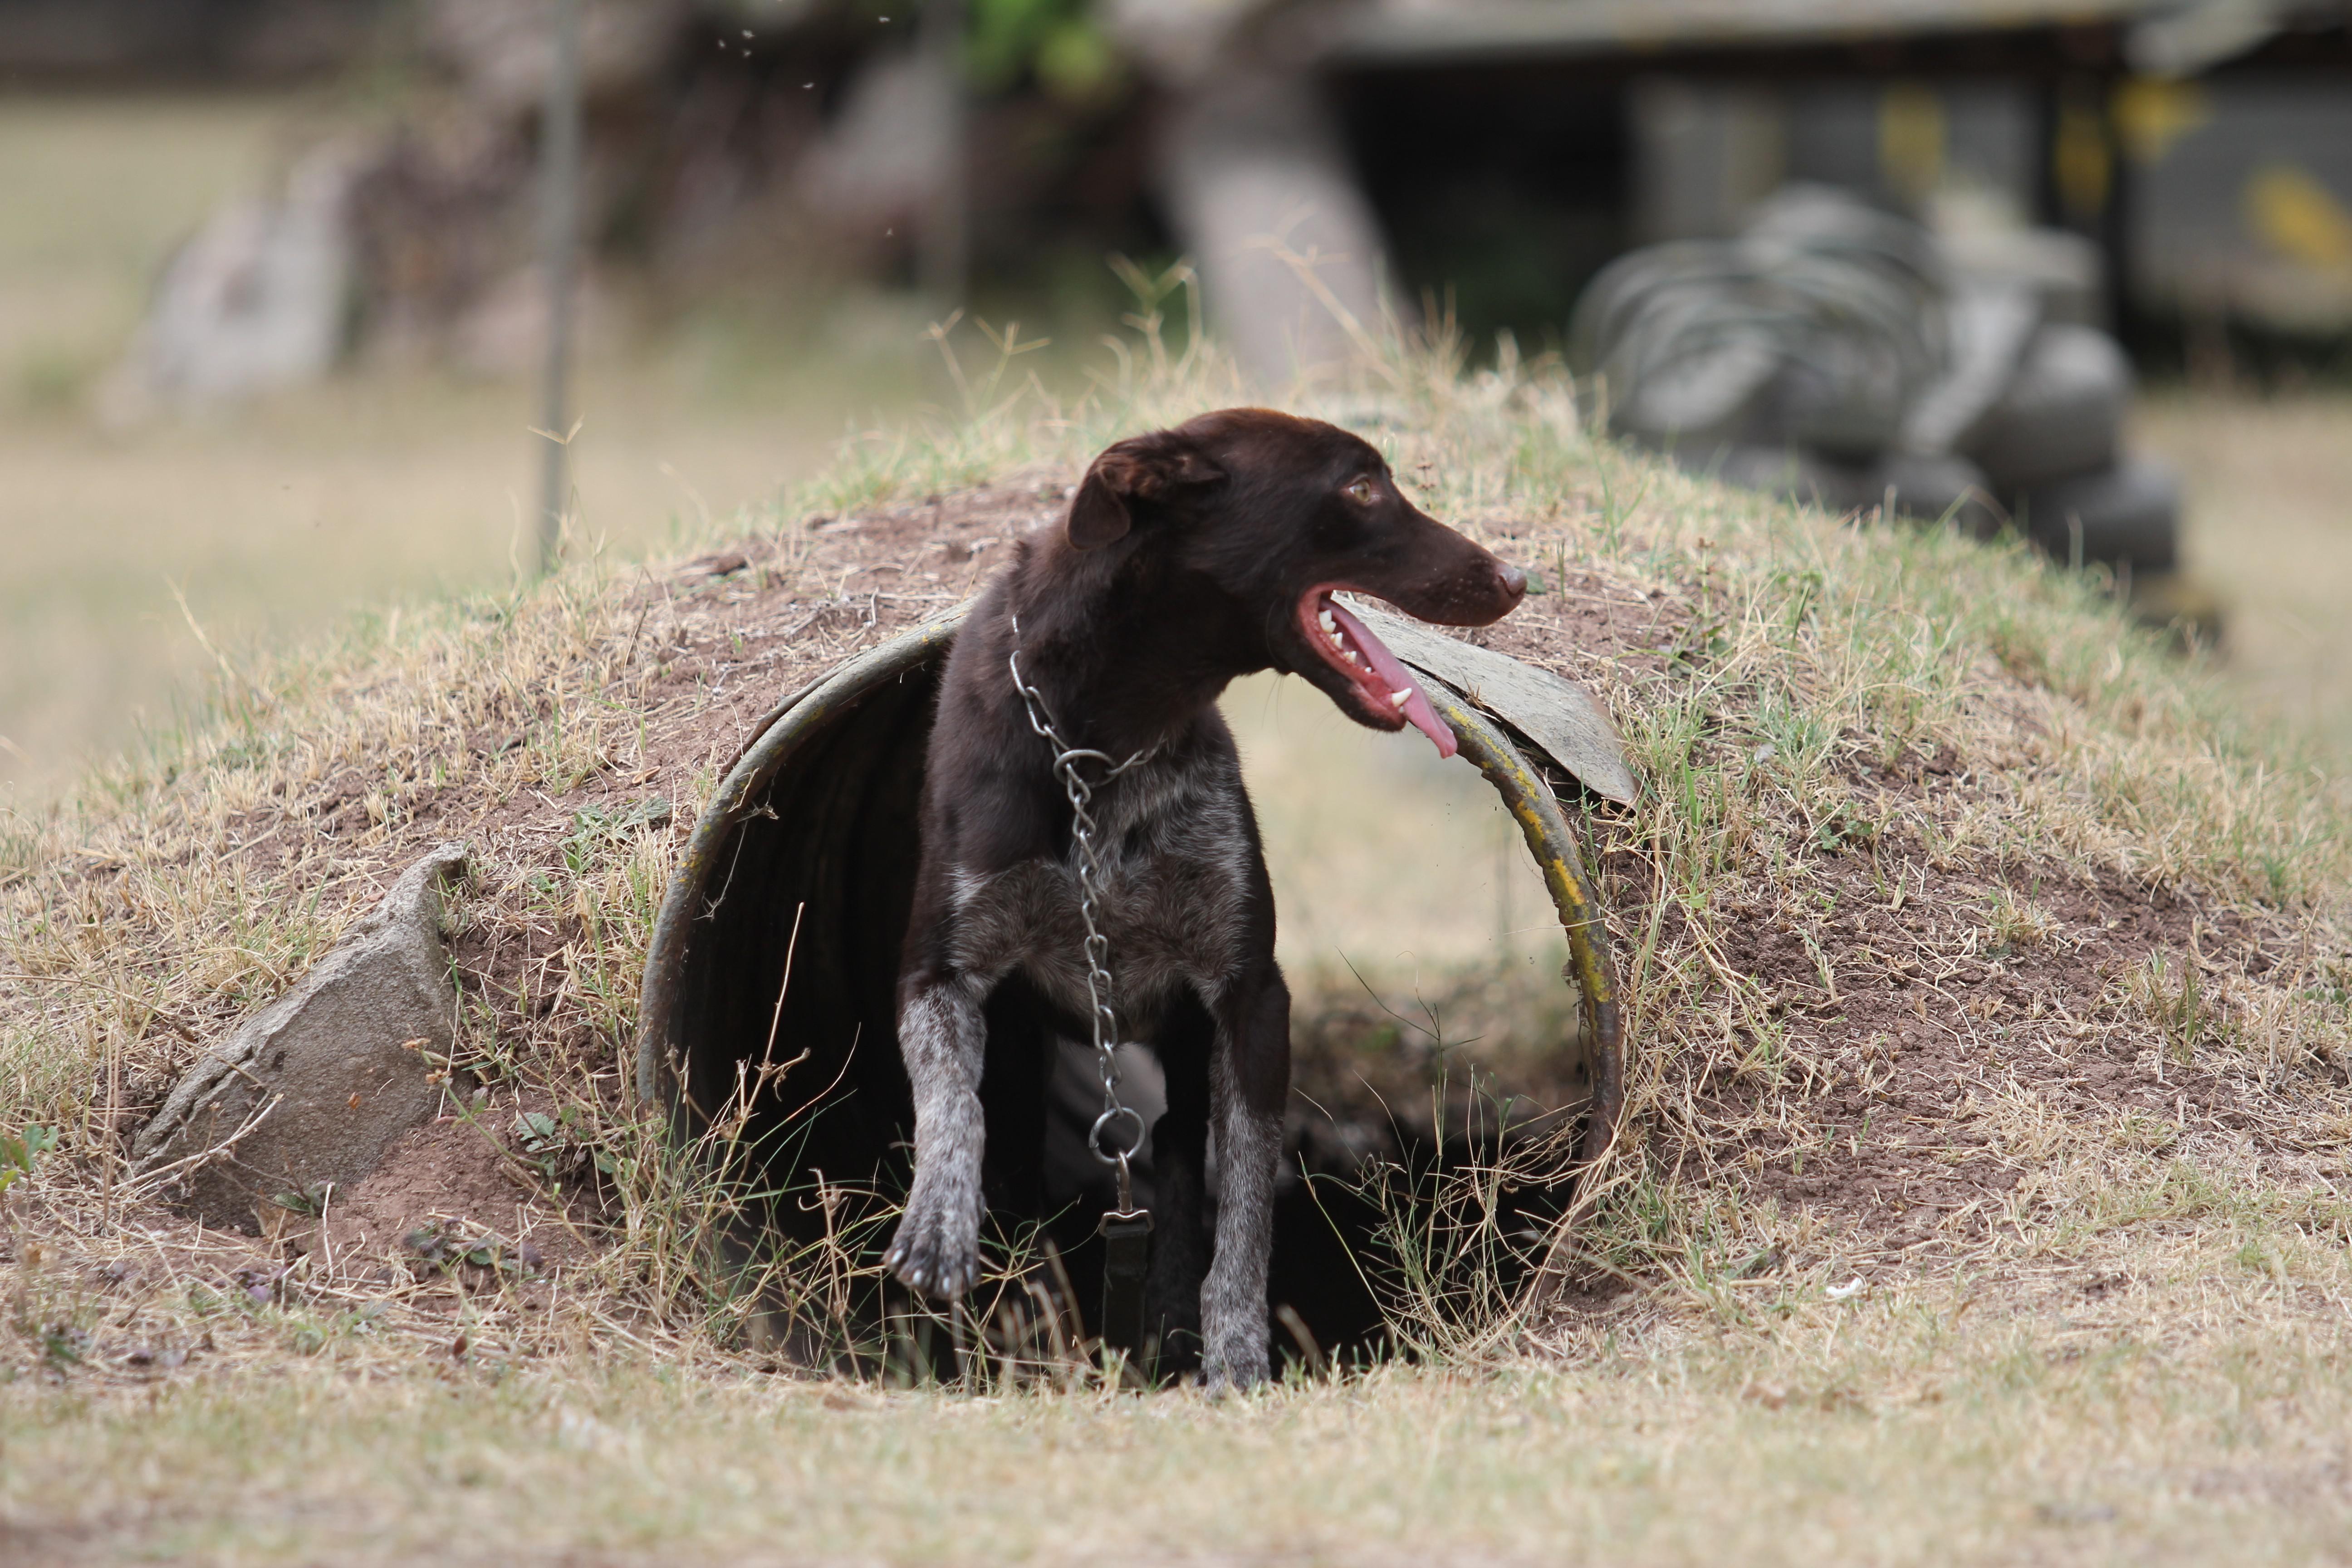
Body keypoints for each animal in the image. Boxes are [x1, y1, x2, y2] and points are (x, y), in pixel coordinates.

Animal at [884, 409, 1524, 1382]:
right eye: (1360, 487)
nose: (1515, 579)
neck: (1104, 751)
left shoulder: (1247, 996)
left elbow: (1244, 1211)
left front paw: (1233, 1358)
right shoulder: (938, 972)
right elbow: (952, 1104)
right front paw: (937, 1227)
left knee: (1180, 1167)